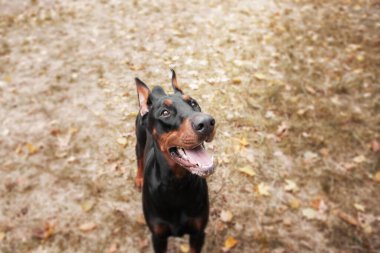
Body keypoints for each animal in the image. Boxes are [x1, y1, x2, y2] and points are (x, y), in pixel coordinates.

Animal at [135, 69, 215, 253]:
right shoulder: (158, 236)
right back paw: (139, 178)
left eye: (193, 103)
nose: (208, 122)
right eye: (165, 112)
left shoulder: (198, 232)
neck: (177, 184)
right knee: (139, 159)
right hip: (139, 141)